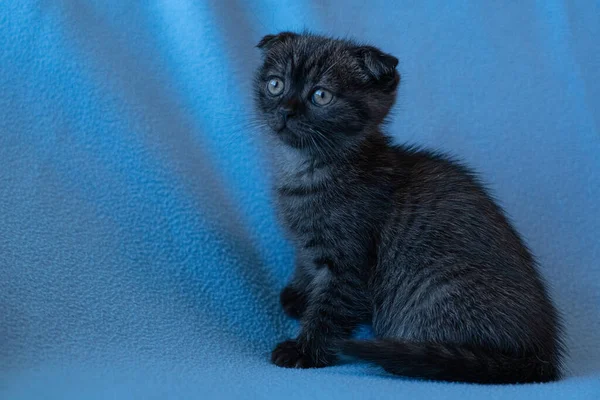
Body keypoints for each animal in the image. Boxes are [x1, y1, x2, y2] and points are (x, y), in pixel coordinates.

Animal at [253, 32, 564, 384]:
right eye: (275, 85)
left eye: (321, 95)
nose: (286, 110)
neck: (303, 168)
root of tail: (542, 358)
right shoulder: (306, 244)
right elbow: (305, 264)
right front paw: (299, 295)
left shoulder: (350, 266)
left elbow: (330, 310)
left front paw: (304, 350)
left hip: (436, 288)